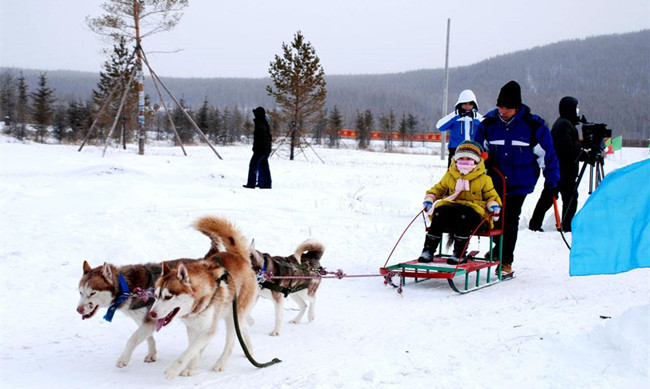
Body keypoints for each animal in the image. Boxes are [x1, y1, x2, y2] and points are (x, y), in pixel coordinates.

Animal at [148, 215, 256, 378]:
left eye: (168, 297)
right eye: (156, 295)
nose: (152, 314)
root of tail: (239, 256)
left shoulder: (208, 330)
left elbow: (189, 351)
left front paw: (174, 369)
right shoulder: (192, 328)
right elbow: (193, 349)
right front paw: (192, 367)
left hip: (232, 316)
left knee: (230, 342)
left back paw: (220, 363)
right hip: (231, 315)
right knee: (243, 327)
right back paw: (249, 349)